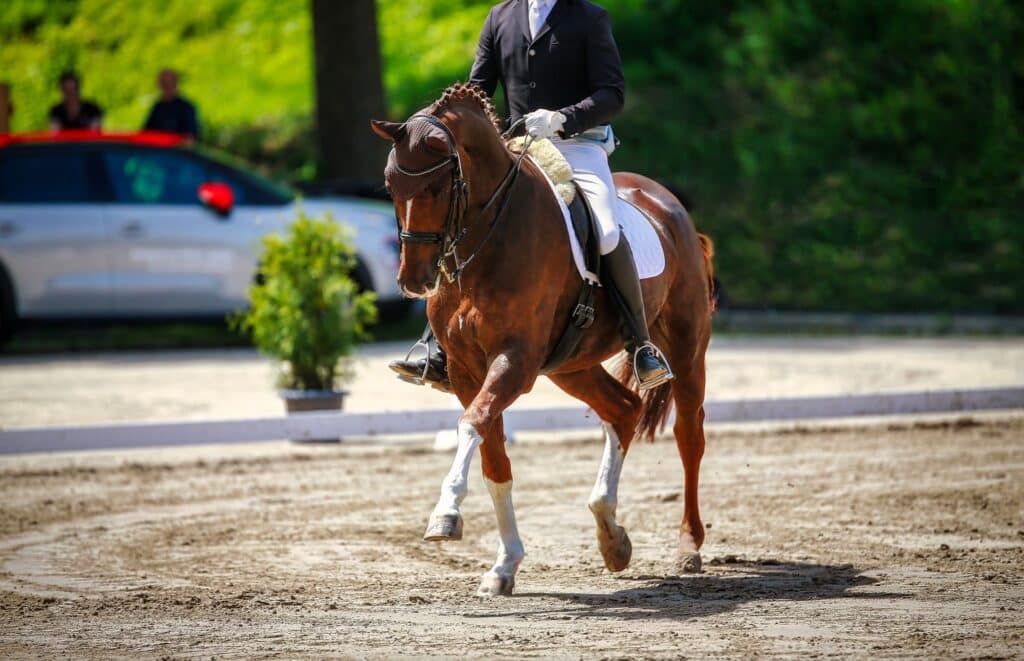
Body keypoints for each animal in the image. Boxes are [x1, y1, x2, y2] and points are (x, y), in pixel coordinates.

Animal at [370, 83, 715, 597]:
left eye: (436, 187)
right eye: (391, 188)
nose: (414, 281)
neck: (489, 234)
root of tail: (670, 205)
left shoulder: (514, 361)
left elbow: (471, 426)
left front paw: (445, 514)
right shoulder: (469, 370)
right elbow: (493, 459)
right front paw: (504, 566)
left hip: (687, 351)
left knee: (688, 435)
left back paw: (687, 545)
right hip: (571, 365)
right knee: (624, 410)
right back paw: (611, 537)